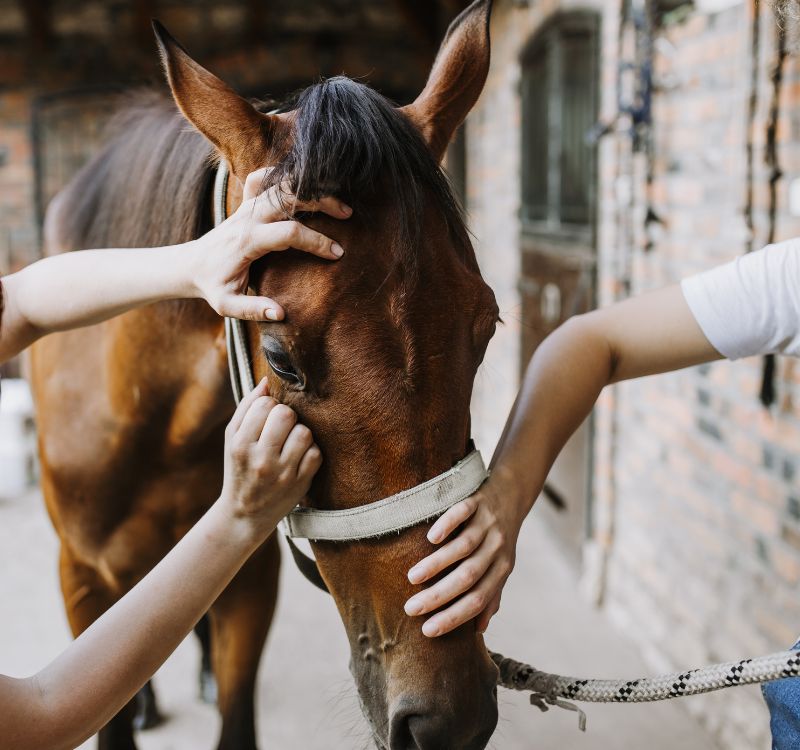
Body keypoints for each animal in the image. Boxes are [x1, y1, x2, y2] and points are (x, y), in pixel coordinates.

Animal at [29, 2, 500, 748]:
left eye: (487, 326)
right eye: (280, 359)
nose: (449, 720)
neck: (147, 417)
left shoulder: (249, 574)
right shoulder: (79, 578)